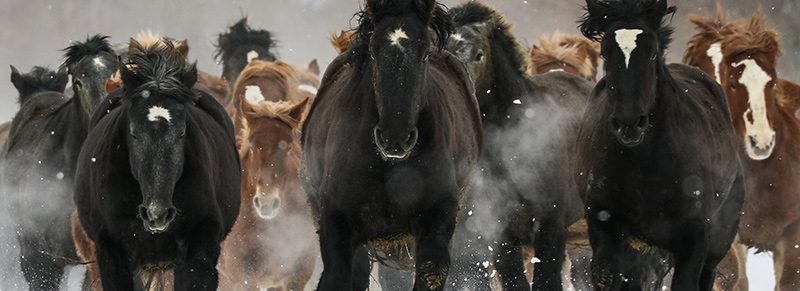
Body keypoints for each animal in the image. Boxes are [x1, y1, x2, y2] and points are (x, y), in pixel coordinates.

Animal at [296, 1, 478, 290]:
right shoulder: (336, 220)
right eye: (373, 52)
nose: (395, 138)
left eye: (425, 53)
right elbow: (338, 276)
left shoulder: (439, 217)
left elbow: (432, 270)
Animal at [576, 0, 744, 290]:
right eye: (605, 54)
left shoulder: (694, 234)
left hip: (719, 237)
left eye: (653, 53)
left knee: (708, 273)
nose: (629, 122)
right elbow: (607, 273)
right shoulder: (603, 220)